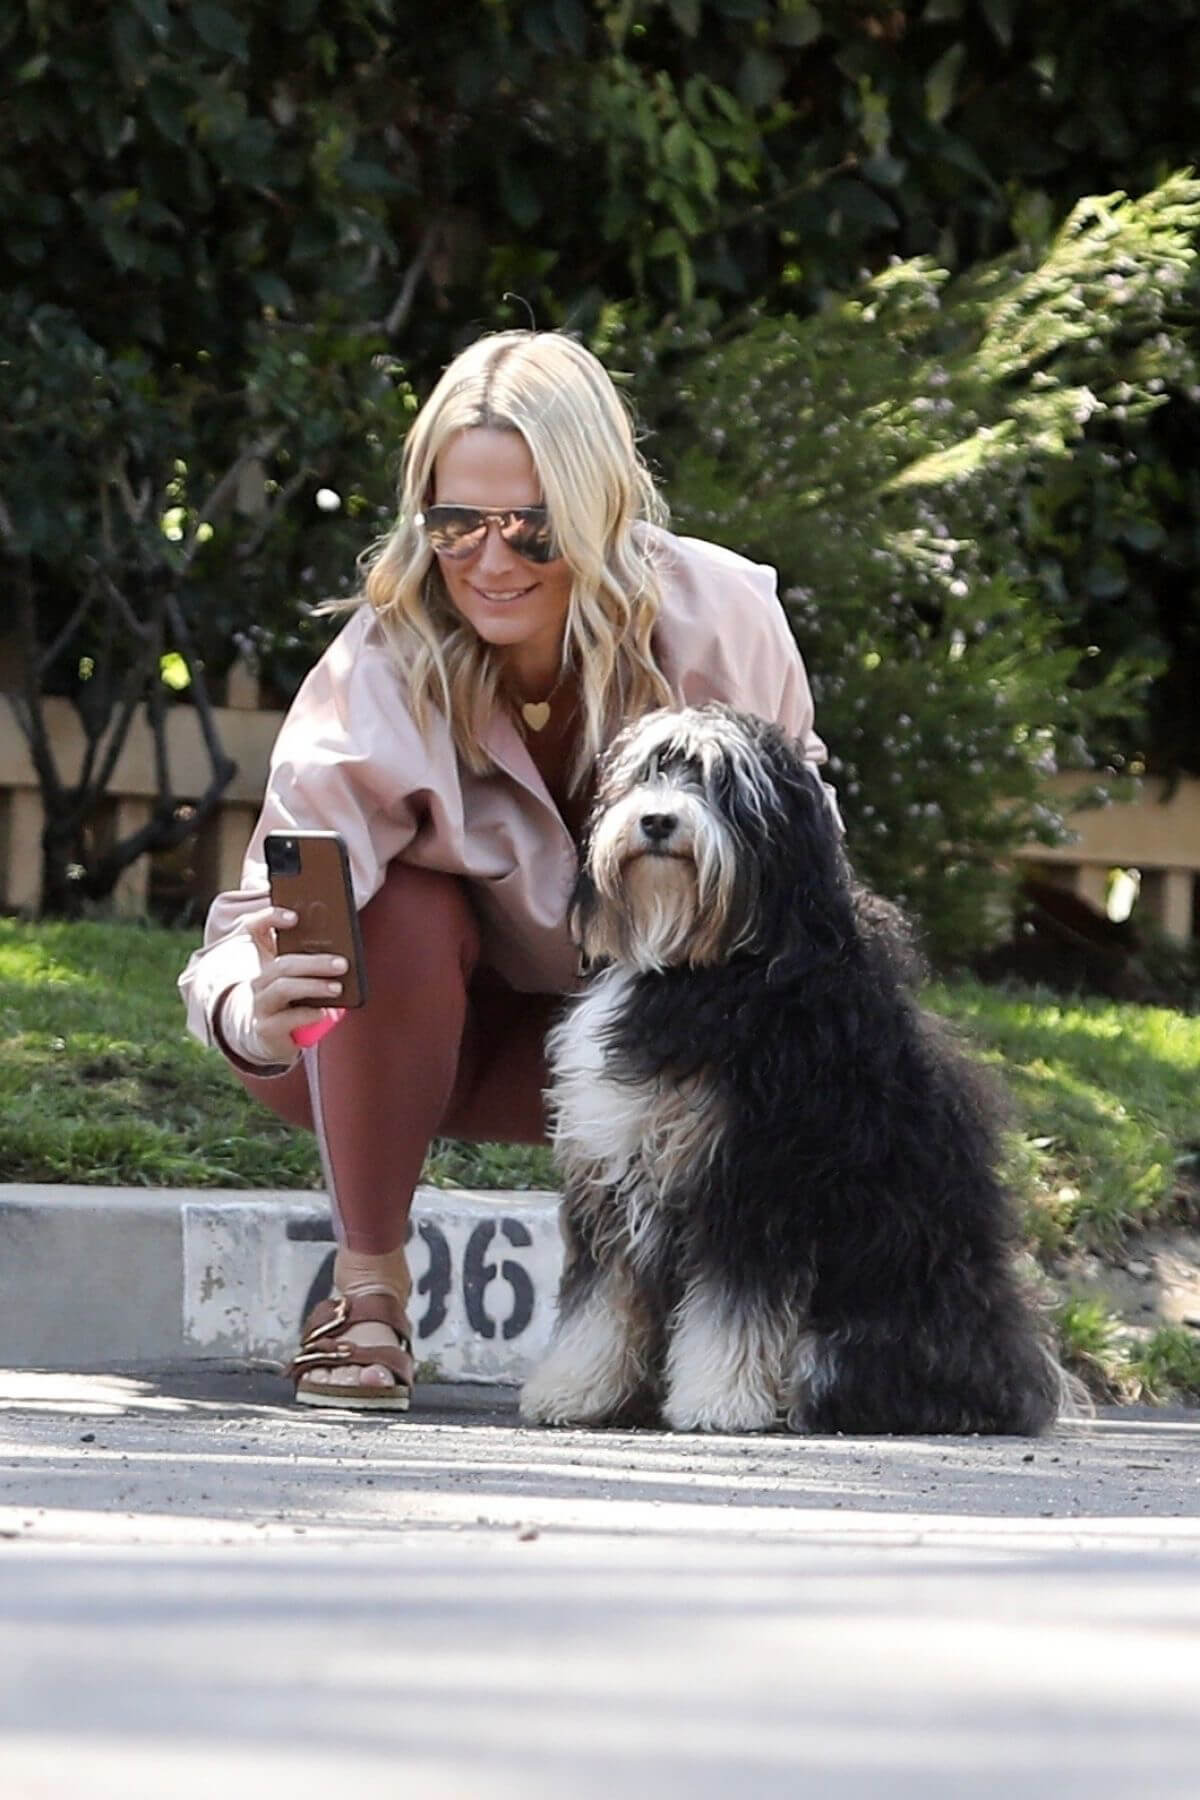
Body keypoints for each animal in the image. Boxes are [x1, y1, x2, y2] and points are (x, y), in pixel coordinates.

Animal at [521, 702, 1065, 1432]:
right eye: (652, 771)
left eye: (725, 786)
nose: (658, 821)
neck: (711, 969)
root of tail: (1009, 1379)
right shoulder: (616, 1170)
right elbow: (602, 1299)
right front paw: (574, 1389)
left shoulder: (756, 1177)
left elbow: (733, 1307)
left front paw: (717, 1400)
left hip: (853, 1333)